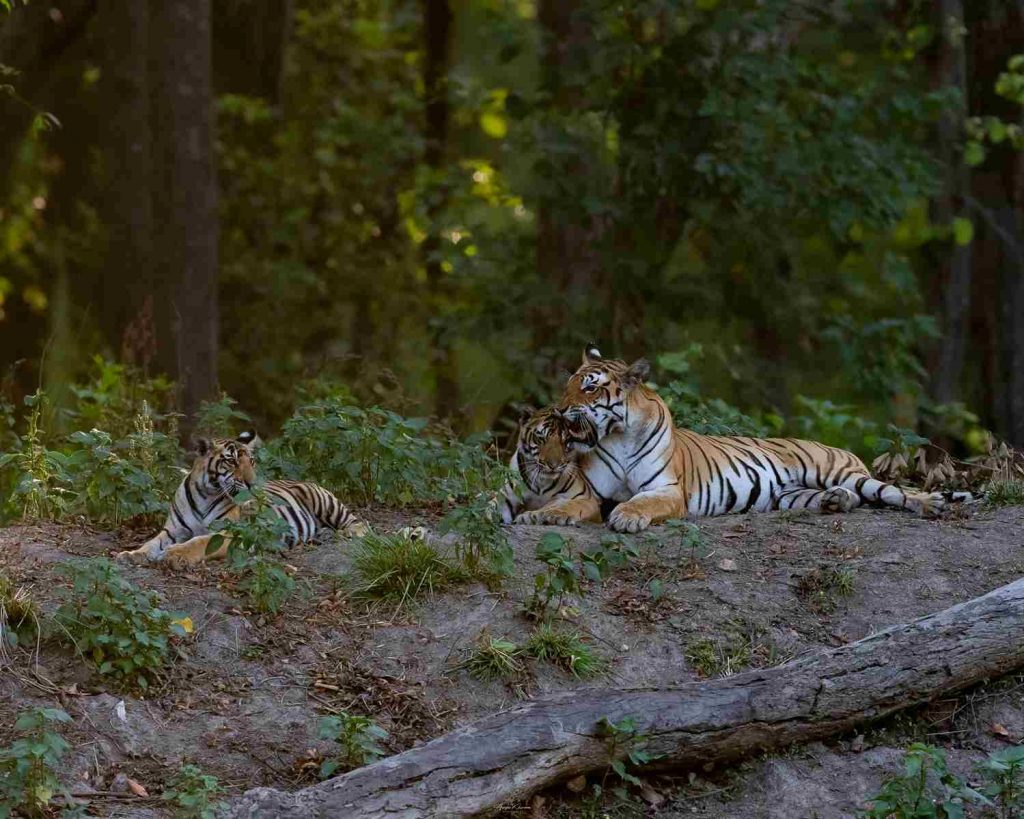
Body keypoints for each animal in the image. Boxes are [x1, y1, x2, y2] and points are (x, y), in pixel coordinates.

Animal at [115, 427, 368, 569]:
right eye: (232, 461)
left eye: (251, 461)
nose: (253, 483)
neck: (205, 493)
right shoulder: (172, 531)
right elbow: (151, 543)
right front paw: (131, 555)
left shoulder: (231, 533)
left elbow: (200, 542)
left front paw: (175, 555)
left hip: (325, 502)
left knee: (360, 522)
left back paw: (347, 533)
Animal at [528, 343, 966, 532]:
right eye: (568, 384)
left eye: (589, 387)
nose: (559, 409)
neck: (617, 436)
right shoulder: (590, 492)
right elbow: (570, 505)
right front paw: (545, 514)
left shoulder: (668, 490)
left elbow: (642, 502)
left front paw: (627, 516)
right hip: (790, 495)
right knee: (848, 499)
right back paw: (834, 502)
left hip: (842, 472)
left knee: (891, 491)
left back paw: (931, 504)